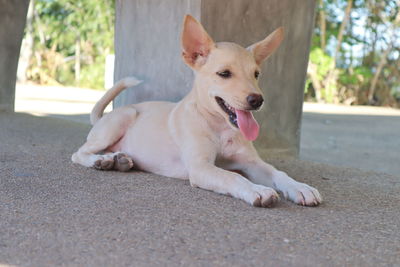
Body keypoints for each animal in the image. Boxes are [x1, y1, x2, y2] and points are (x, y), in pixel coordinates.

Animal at [72, 14, 322, 208]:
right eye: (224, 74)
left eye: (256, 74)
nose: (257, 100)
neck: (219, 127)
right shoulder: (201, 167)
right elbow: (232, 177)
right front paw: (257, 190)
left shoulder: (251, 162)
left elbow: (278, 173)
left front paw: (300, 187)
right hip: (122, 119)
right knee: (79, 153)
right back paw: (101, 161)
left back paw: (118, 159)